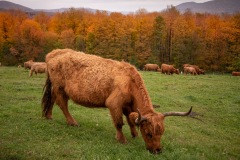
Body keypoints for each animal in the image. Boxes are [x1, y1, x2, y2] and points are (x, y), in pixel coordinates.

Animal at [40, 48, 191, 154]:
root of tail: (54, 52)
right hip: (60, 88)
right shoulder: (114, 103)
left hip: (56, 88)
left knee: (51, 100)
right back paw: (72, 122)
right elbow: (119, 123)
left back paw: (48, 116)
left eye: (162, 132)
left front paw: (134, 134)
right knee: (62, 104)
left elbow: (131, 120)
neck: (130, 82)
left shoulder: (127, 106)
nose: (157, 151)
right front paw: (122, 139)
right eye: (149, 134)